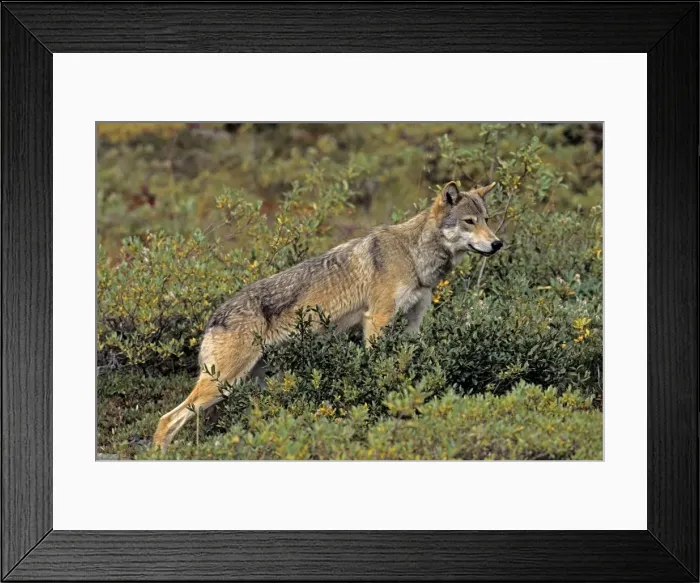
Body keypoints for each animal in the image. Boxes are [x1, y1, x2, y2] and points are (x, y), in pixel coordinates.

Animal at [153, 181, 502, 450]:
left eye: (487, 219)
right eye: (469, 221)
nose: (498, 243)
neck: (414, 256)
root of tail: (213, 317)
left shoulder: (413, 324)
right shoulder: (377, 320)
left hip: (248, 384)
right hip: (224, 383)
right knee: (166, 420)